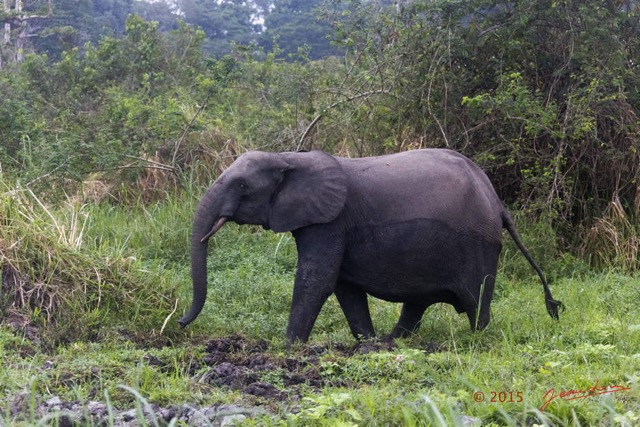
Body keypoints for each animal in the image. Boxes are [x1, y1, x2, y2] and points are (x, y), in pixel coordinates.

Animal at [178, 150, 564, 344]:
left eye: (242, 185)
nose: (181, 322)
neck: (290, 157)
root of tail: (498, 203)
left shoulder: (330, 222)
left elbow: (317, 280)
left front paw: (289, 347)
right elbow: (344, 287)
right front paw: (365, 343)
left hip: (478, 244)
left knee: (476, 301)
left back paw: (474, 340)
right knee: (418, 303)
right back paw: (391, 341)